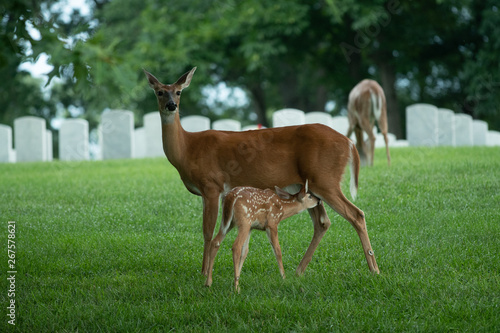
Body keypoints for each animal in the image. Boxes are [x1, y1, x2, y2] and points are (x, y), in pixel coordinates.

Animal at [142, 67, 378, 280]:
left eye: (179, 92)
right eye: (159, 92)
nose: (171, 105)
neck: (187, 149)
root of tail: (349, 143)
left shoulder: (211, 185)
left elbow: (207, 231)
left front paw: (203, 273)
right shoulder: (205, 192)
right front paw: (204, 271)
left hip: (326, 179)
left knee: (356, 214)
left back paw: (374, 269)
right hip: (307, 186)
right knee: (322, 222)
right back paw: (298, 271)